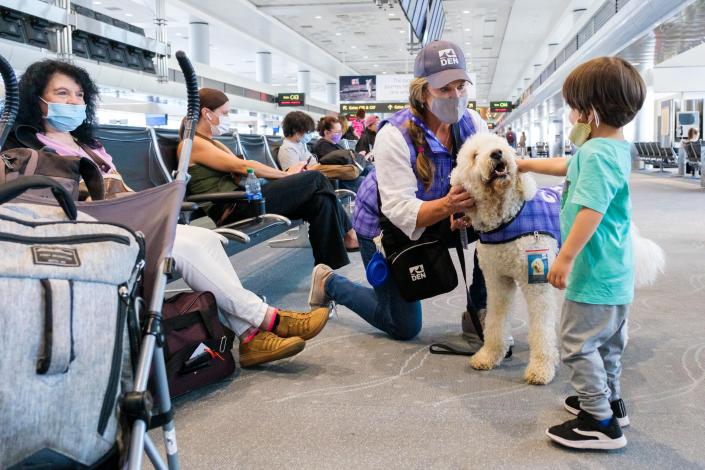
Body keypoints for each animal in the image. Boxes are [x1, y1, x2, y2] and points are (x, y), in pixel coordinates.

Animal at [452, 133, 664, 386]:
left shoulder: (536, 283)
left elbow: (541, 329)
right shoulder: (497, 281)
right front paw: (488, 355)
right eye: (474, 155)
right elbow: (496, 321)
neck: (508, 217)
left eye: (502, 146)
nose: (496, 153)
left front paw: (540, 368)